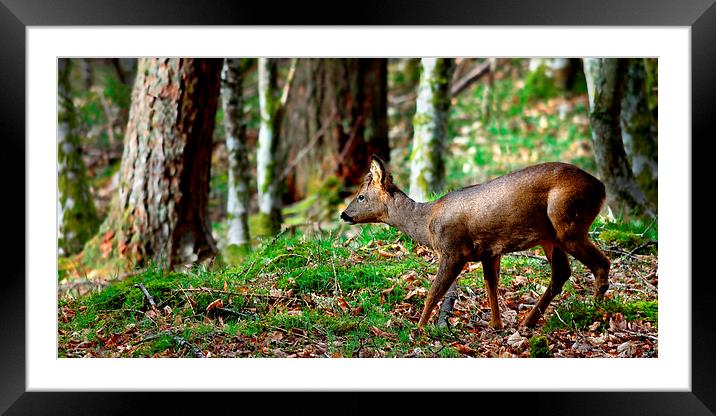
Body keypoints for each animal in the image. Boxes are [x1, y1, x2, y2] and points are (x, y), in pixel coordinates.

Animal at [342, 156, 608, 328]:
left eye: (361, 196)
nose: (344, 214)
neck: (426, 223)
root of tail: (601, 187)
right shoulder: (490, 251)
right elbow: (491, 285)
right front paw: (495, 324)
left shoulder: (453, 250)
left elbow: (434, 292)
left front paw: (419, 329)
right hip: (549, 235)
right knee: (562, 272)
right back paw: (528, 323)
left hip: (568, 222)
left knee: (601, 263)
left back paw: (593, 312)